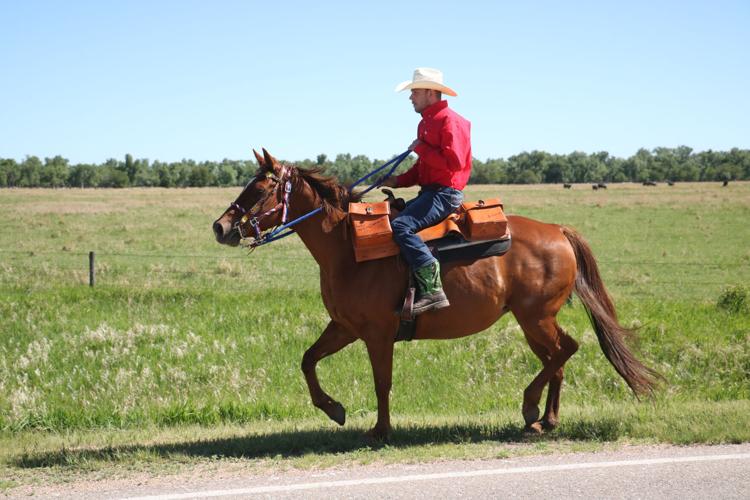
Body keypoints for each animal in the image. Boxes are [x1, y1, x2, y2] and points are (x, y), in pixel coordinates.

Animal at [212, 149, 659, 440]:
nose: (221, 227)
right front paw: (334, 409)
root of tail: (557, 229)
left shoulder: (377, 334)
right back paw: (544, 419)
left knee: (566, 350)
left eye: (260, 190)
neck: (346, 247)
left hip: (536, 317)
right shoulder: (344, 327)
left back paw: (532, 407)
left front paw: (380, 430)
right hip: (531, 321)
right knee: (557, 359)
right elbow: (308, 361)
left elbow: (382, 381)